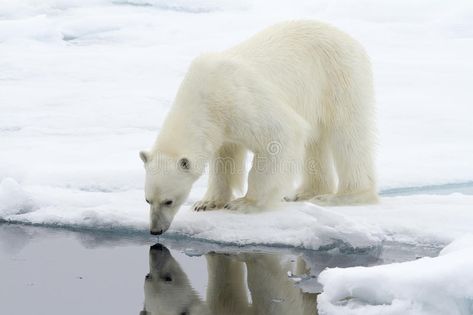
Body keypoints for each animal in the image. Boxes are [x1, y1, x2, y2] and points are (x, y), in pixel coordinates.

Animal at [139, 20, 376, 235]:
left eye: (168, 201)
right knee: (316, 141)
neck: (205, 96)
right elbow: (224, 159)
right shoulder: (222, 126)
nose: (156, 230)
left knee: (348, 136)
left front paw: (245, 203)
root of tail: (349, 39)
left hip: (338, 77)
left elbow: (281, 134)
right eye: (148, 200)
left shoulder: (239, 101)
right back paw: (304, 193)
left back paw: (343, 195)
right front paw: (206, 203)